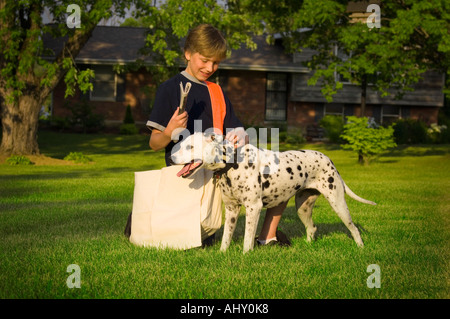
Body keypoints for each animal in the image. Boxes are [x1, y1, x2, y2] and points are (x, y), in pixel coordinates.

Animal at [171, 132, 376, 252]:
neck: (233, 163)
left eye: (190, 147)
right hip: (303, 208)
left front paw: (246, 256)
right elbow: (226, 239)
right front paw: (222, 254)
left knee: (353, 228)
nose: (171, 157)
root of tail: (329, 159)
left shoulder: (253, 208)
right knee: (312, 228)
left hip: (338, 203)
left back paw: (360, 247)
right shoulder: (231, 210)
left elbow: (247, 240)